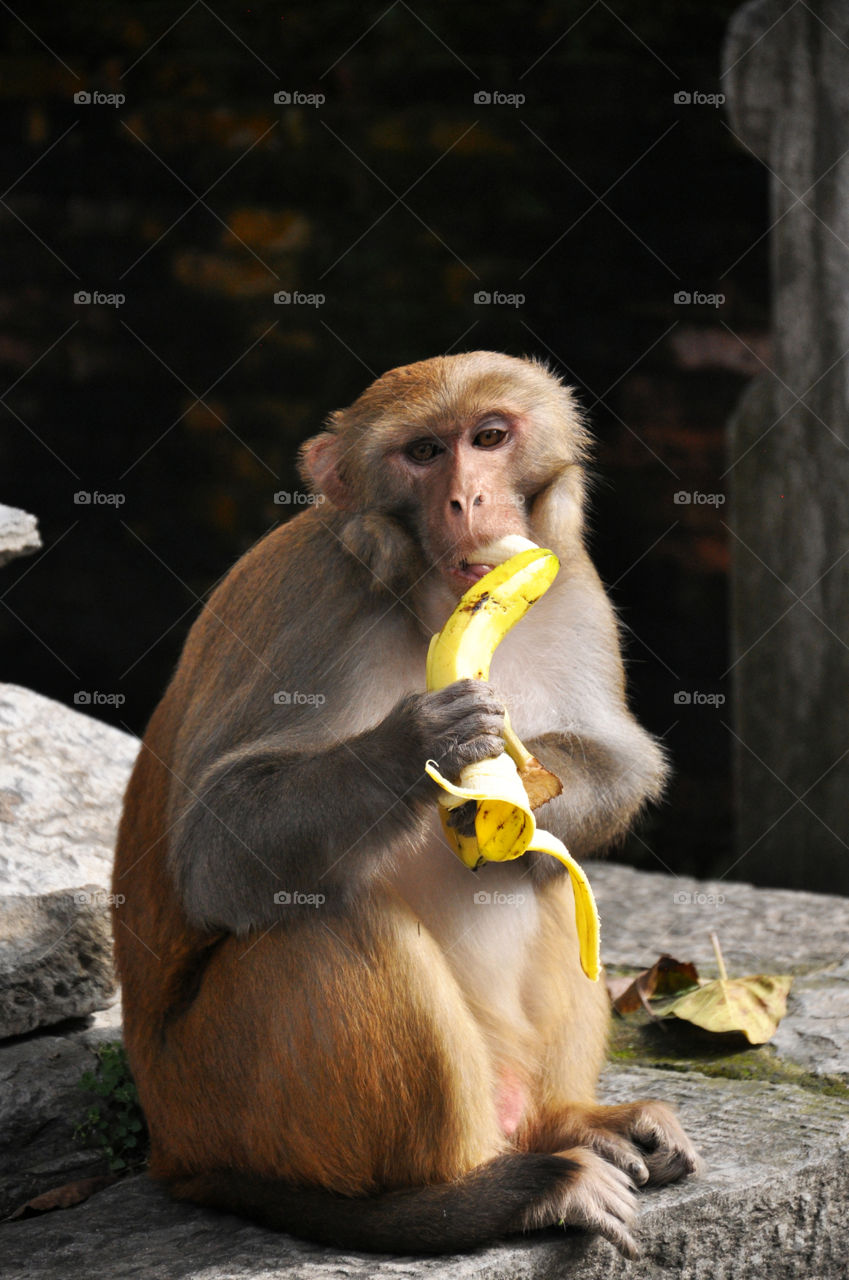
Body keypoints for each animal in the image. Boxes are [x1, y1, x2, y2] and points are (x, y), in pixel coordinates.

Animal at [111, 350, 696, 1259]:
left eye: (488, 437)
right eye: (423, 454)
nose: (467, 500)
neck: (423, 602)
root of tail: (172, 1146)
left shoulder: (570, 579)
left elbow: (622, 759)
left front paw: (523, 792)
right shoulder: (310, 600)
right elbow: (215, 848)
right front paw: (420, 743)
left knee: (549, 873)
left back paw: (567, 1123)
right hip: (216, 1095)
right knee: (324, 914)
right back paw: (483, 1194)